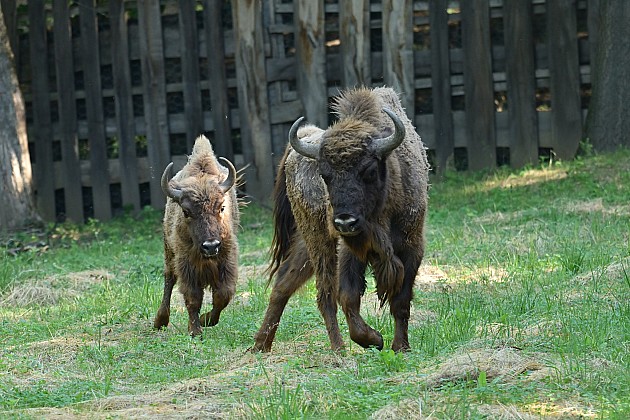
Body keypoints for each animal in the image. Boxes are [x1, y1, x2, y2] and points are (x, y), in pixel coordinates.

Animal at [154, 135, 241, 338]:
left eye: (222, 207)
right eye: (186, 212)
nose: (211, 246)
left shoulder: (227, 260)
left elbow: (222, 295)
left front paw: (206, 320)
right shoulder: (187, 265)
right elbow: (193, 298)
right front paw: (195, 330)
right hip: (169, 253)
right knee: (169, 279)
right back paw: (160, 321)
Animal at [254, 87, 432, 352]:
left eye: (369, 170)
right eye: (324, 175)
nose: (345, 222)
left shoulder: (412, 247)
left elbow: (401, 301)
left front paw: (400, 347)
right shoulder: (349, 252)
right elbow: (348, 297)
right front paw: (374, 339)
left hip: (307, 245)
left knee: (283, 283)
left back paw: (260, 346)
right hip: (319, 241)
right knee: (324, 295)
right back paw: (338, 350)